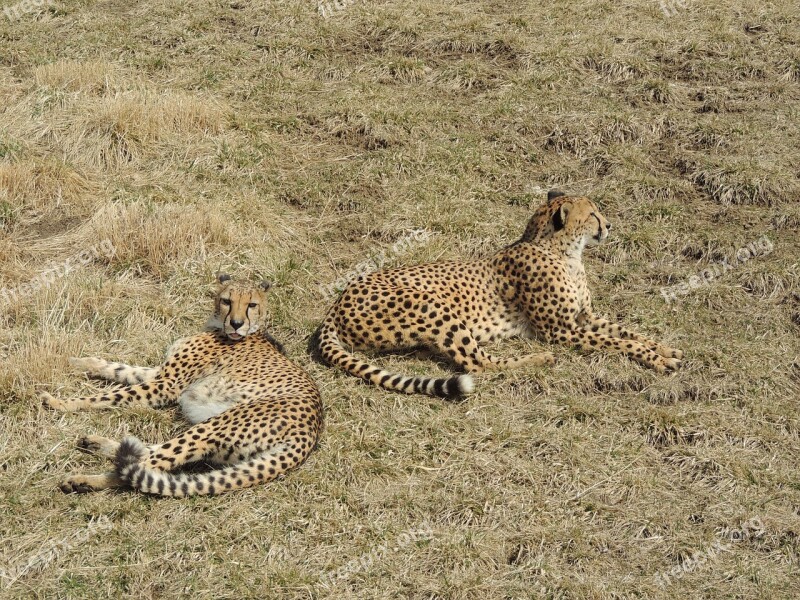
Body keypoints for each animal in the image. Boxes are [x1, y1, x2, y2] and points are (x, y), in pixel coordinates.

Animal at [42, 276, 324, 496]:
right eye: (227, 301)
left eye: (251, 305)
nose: (236, 324)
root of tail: (310, 434)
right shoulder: (161, 374)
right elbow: (119, 369)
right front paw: (78, 363)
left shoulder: (166, 383)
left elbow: (109, 395)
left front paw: (61, 402)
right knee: (148, 454)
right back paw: (98, 444)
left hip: (214, 426)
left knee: (144, 467)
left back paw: (84, 480)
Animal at [312, 192, 680, 398]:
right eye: (592, 214)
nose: (609, 226)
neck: (565, 253)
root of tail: (338, 301)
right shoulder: (558, 330)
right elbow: (616, 341)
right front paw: (658, 359)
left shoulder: (584, 316)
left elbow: (626, 331)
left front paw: (664, 349)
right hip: (432, 306)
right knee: (477, 363)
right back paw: (540, 359)